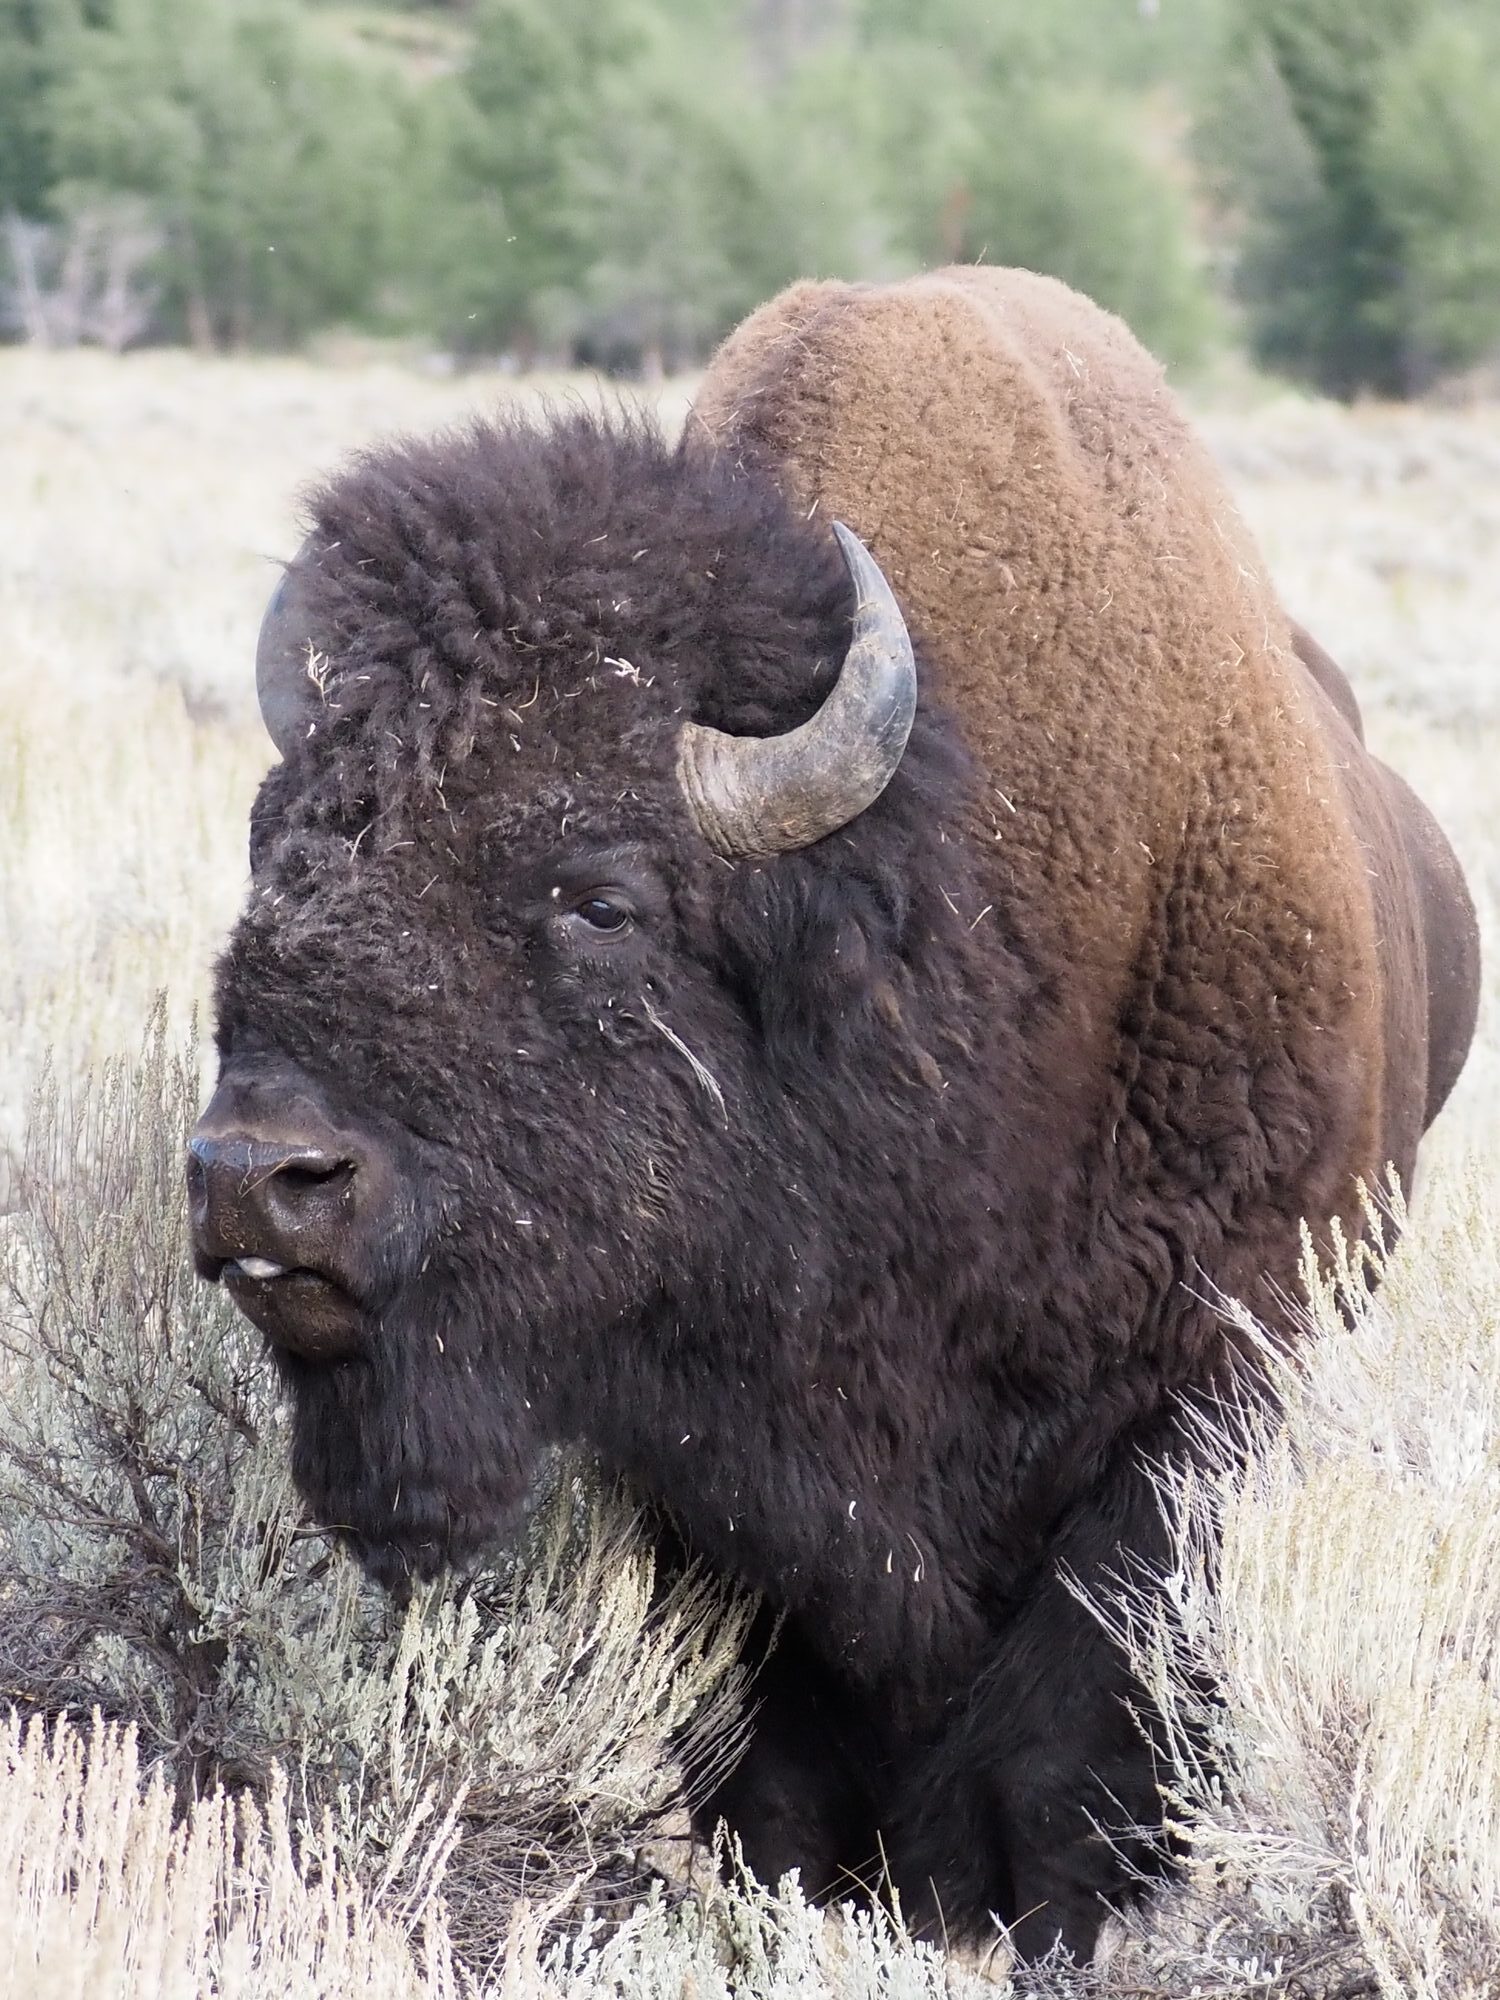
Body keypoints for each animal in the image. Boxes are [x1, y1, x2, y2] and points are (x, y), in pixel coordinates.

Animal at [188, 268, 1480, 1962]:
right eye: (283, 847)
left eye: (602, 898)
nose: (259, 1176)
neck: (934, 926)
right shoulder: (704, 1462)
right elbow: (776, 1742)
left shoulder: (1199, 1390)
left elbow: (1078, 1708)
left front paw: (1050, 1908)